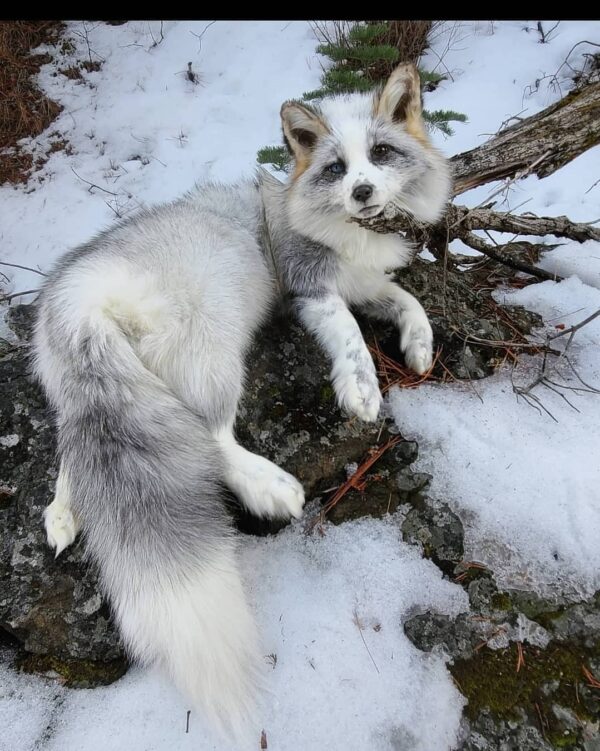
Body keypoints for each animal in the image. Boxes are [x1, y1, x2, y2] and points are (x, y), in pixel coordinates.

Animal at [34, 62, 450, 735]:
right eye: (337, 167)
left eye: (382, 154)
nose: (363, 192)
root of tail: (81, 301)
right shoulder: (311, 286)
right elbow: (351, 334)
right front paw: (361, 387)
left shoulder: (365, 282)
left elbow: (409, 302)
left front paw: (417, 346)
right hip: (213, 352)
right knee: (208, 436)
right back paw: (268, 486)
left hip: (90, 393)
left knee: (77, 449)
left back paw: (65, 514)